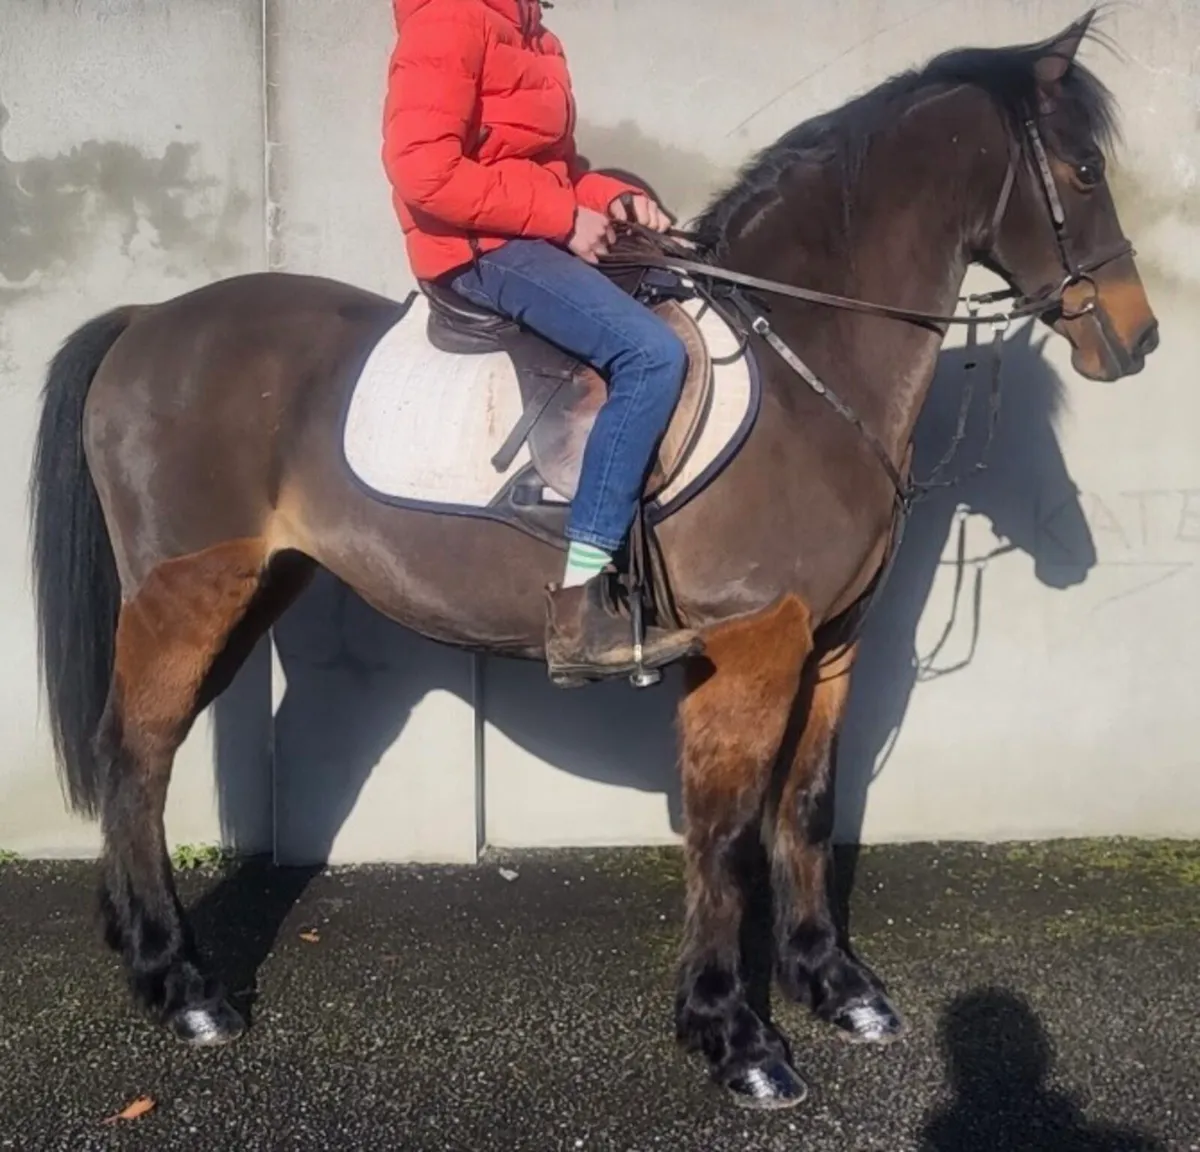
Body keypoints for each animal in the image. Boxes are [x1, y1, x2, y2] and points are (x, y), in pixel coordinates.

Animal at [27, 9, 1158, 1109]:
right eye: (1084, 170)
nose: (1138, 339)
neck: (808, 370)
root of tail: (147, 322)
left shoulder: (832, 647)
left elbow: (804, 808)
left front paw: (833, 985)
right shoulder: (755, 651)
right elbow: (724, 835)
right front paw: (734, 1034)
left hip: (252, 588)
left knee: (140, 756)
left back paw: (139, 946)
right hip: (189, 594)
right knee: (136, 759)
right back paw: (181, 986)